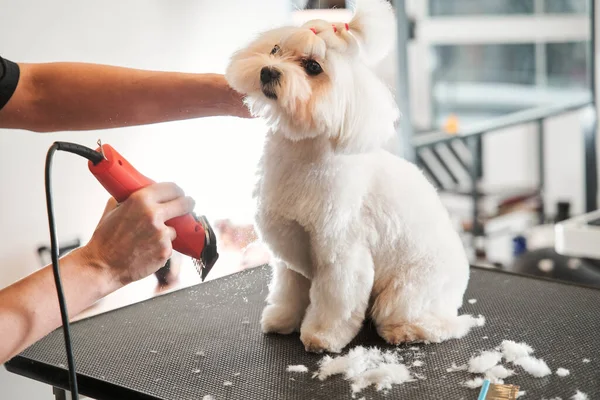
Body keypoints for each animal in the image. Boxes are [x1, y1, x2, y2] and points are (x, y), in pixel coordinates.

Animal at [225, 0, 482, 354]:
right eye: (275, 49)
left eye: (313, 67)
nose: (269, 71)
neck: (299, 156)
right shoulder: (290, 247)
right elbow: (289, 291)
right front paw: (282, 319)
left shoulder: (341, 253)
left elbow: (335, 300)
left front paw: (322, 336)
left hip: (406, 292)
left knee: (432, 324)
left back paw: (405, 331)